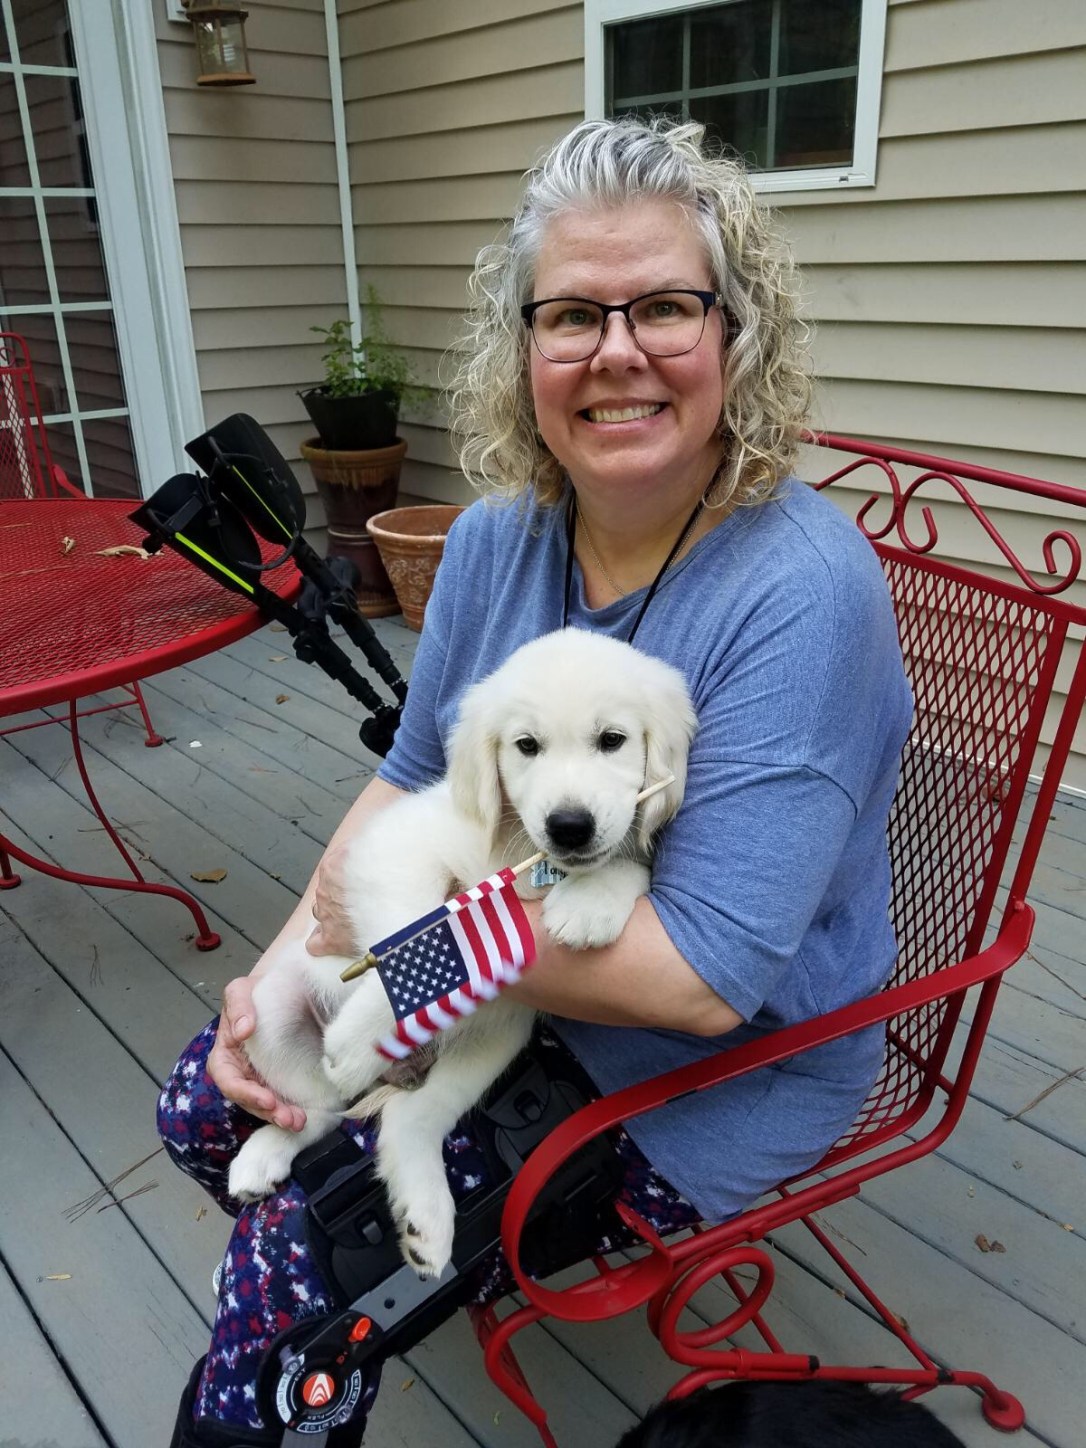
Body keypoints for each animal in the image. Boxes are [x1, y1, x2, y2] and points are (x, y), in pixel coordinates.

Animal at [227, 628, 697, 1278]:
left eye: (613, 740)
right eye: (526, 746)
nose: (569, 826)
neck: (526, 859)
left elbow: (631, 865)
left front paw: (592, 901)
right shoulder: (395, 847)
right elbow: (418, 936)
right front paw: (363, 1034)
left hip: (496, 1037)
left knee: (393, 1121)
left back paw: (424, 1217)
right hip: (270, 1014)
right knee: (315, 1108)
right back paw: (269, 1149)